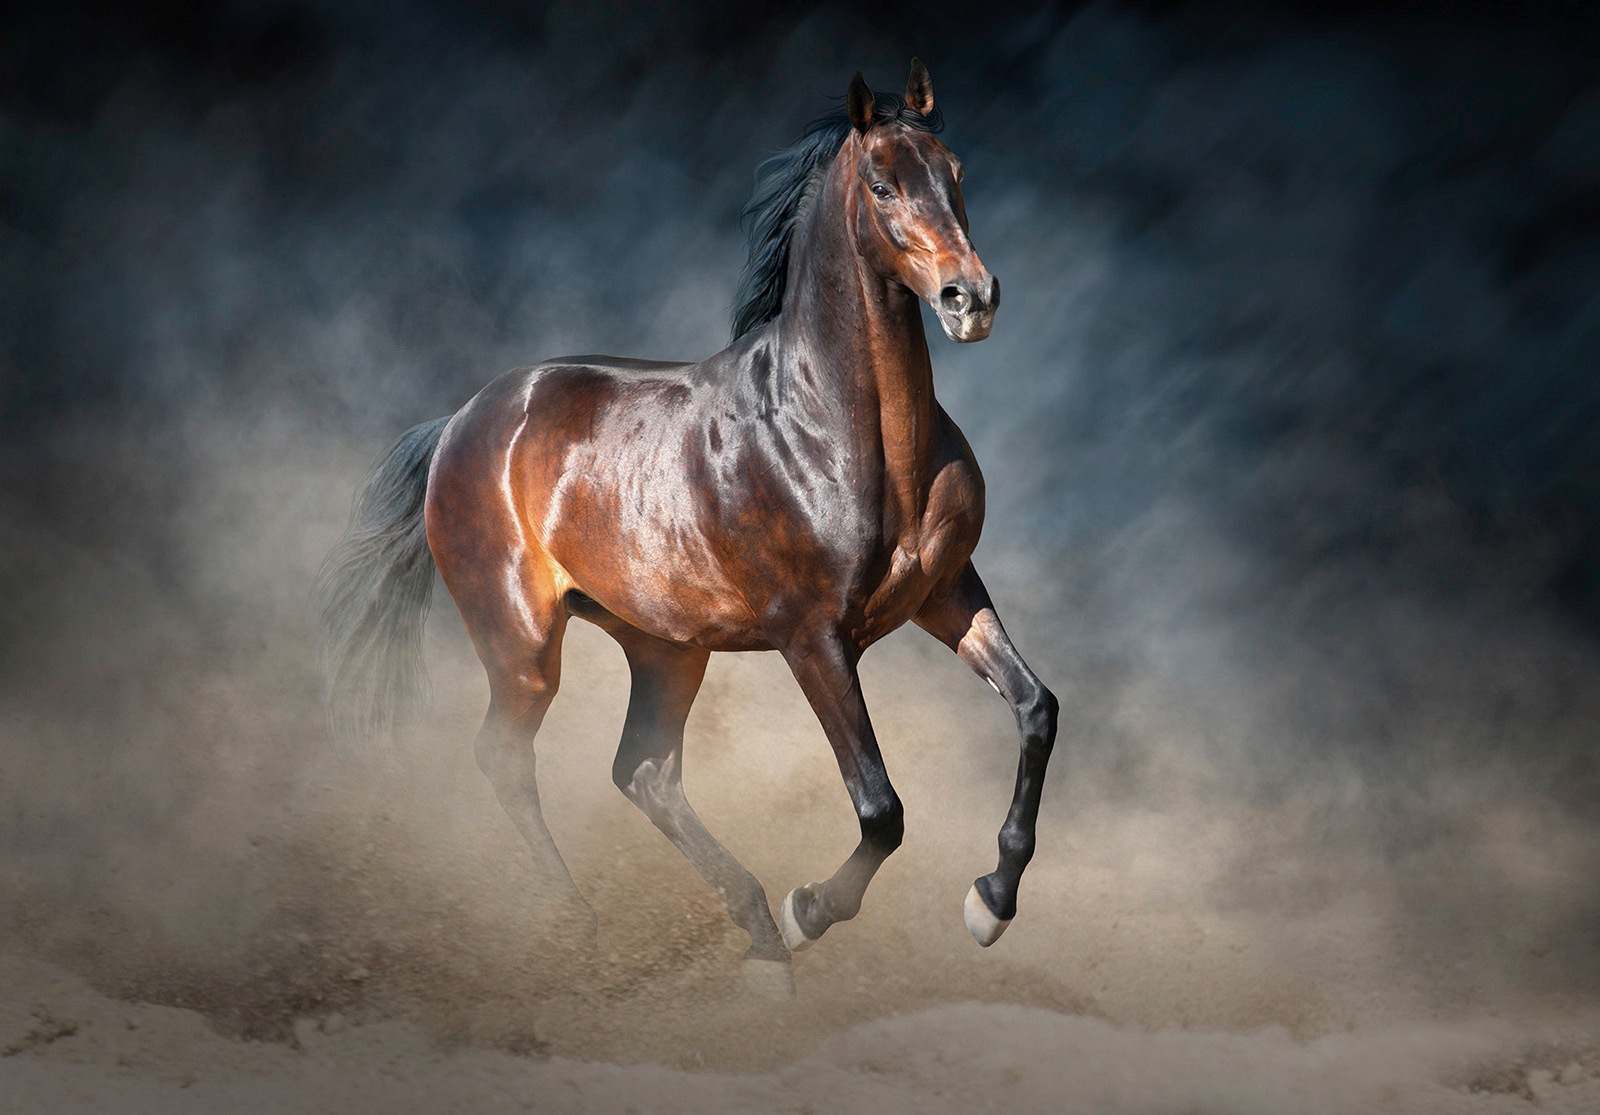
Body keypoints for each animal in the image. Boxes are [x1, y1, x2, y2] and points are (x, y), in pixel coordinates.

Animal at [316, 60, 1058, 991]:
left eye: (955, 170)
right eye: (884, 183)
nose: (972, 298)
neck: (840, 430)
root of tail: (459, 421)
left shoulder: (947, 591)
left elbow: (1036, 709)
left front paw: (989, 903)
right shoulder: (813, 637)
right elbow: (880, 807)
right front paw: (812, 909)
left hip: (666, 646)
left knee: (644, 772)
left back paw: (757, 939)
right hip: (523, 646)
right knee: (506, 757)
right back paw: (588, 923)